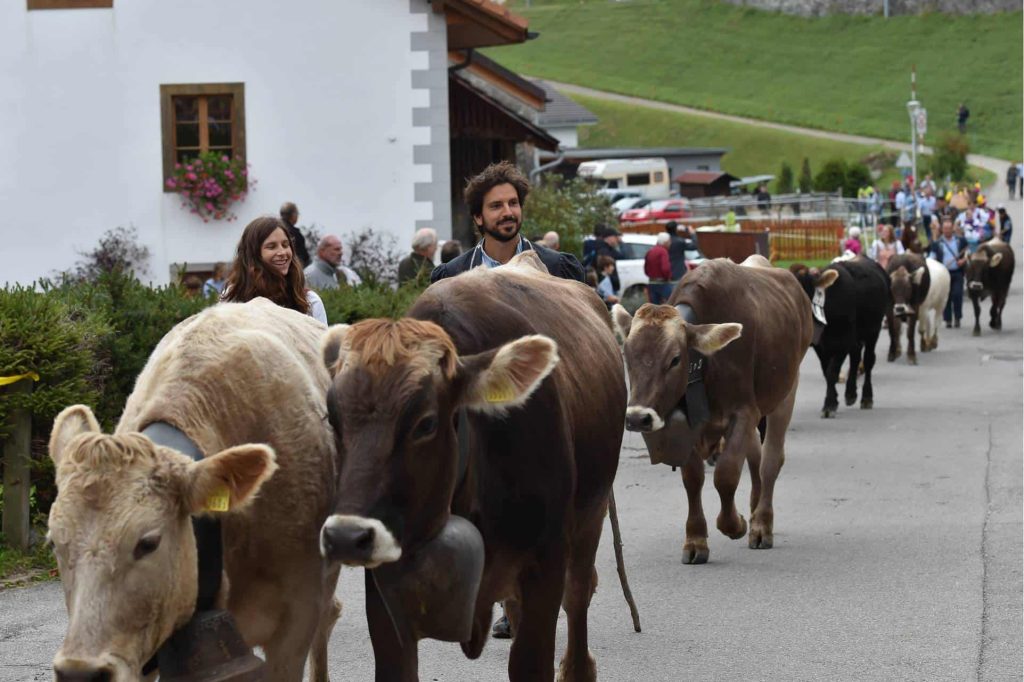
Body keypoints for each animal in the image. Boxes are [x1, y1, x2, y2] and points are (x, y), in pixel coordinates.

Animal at [610, 254, 811, 561]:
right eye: (627, 356)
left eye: (675, 359)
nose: (637, 418)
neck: (706, 363)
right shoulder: (690, 424)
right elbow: (693, 478)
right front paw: (695, 540)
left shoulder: (744, 412)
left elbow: (726, 474)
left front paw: (735, 524)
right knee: (754, 457)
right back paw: (754, 509)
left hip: (786, 392)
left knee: (770, 461)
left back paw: (761, 524)